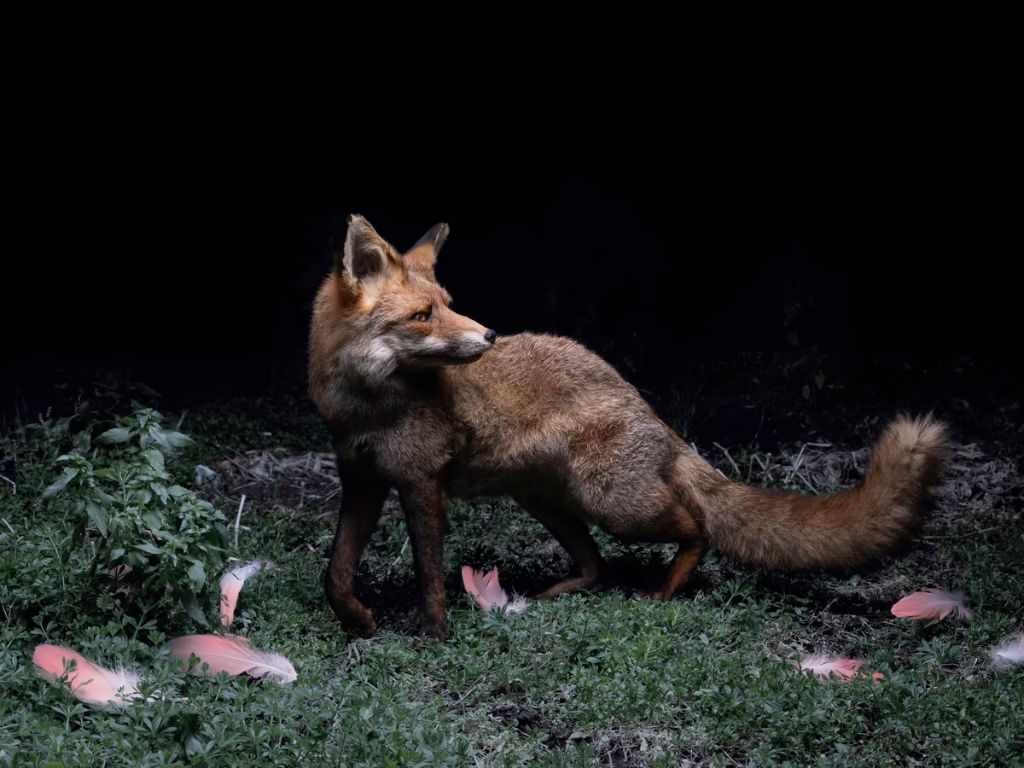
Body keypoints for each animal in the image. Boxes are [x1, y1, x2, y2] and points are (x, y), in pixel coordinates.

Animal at [305, 214, 950, 638]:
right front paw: (360, 621)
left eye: (447, 302)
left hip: (614, 504)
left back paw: (666, 588)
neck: (368, 407)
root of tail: (654, 415)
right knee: (597, 566)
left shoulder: (421, 485)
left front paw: (435, 636)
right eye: (423, 315)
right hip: (547, 501)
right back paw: (564, 591)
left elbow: (430, 576)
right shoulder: (363, 482)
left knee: (696, 529)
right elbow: (335, 575)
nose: (488, 335)